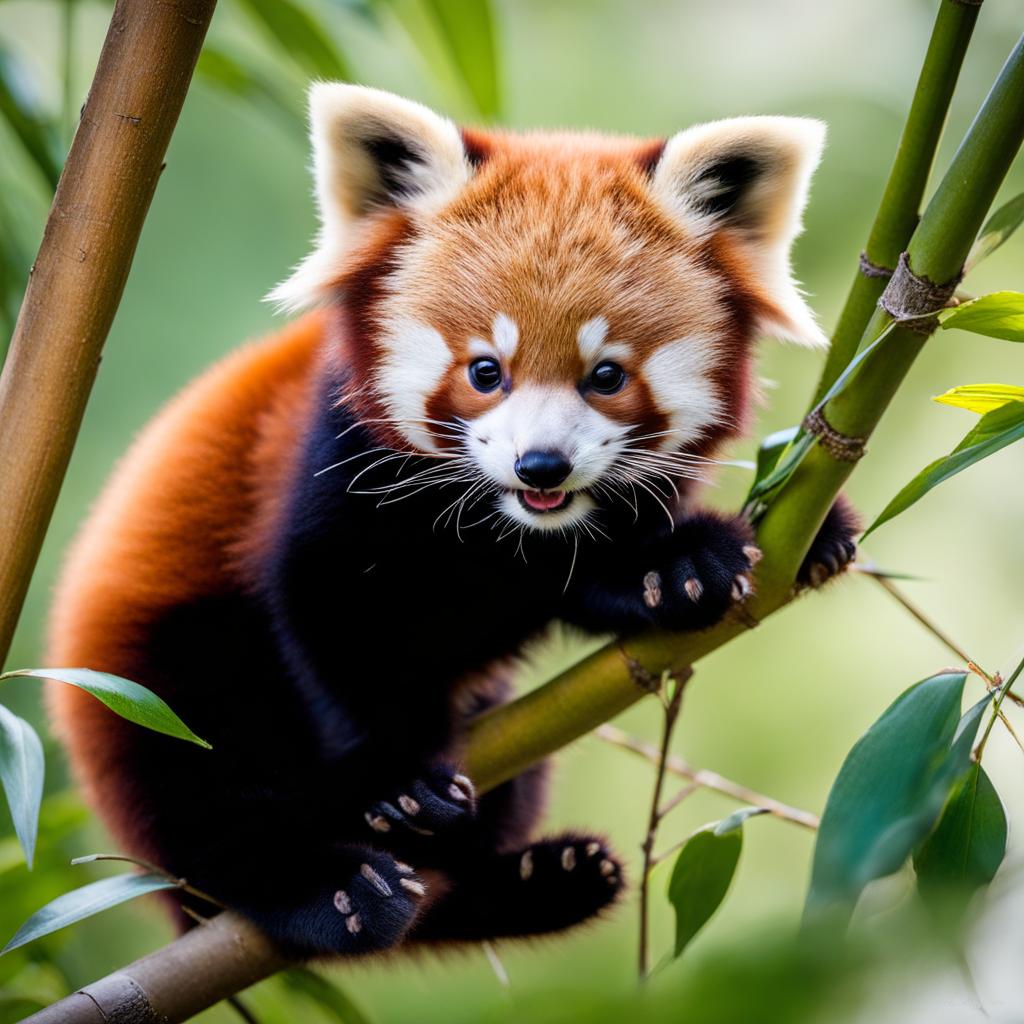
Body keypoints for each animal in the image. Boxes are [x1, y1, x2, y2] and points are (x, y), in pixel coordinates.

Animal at [46, 83, 856, 954]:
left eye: (606, 376)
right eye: (485, 372)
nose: (542, 466)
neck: (494, 524)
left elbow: (587, 575)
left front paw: (693, 560)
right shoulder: (327, 463)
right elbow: (328, 611)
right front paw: (400, 775)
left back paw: (540, 881)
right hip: (155, 674)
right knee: (202, 797)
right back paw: (326, 885)